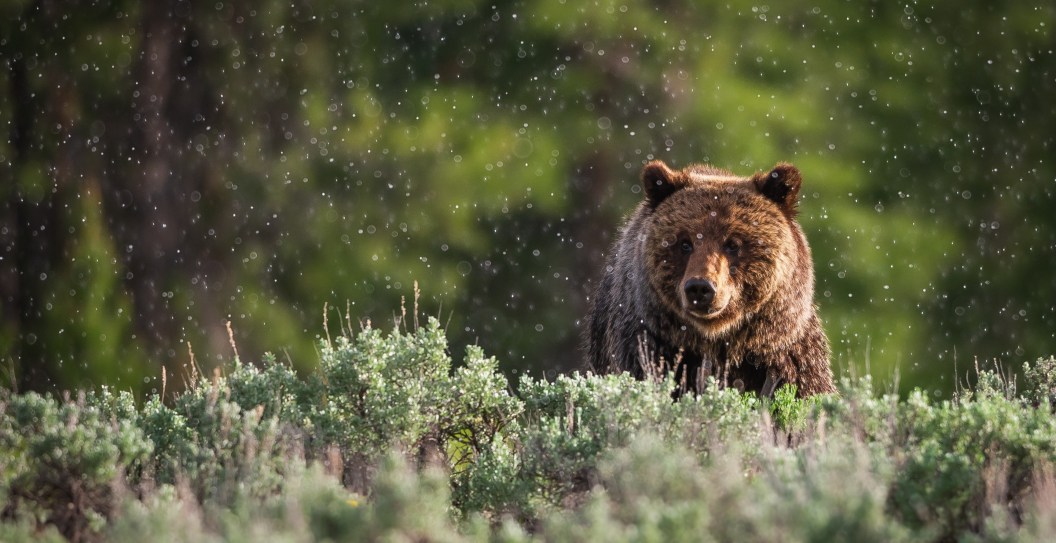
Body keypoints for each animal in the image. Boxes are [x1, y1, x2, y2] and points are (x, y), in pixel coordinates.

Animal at [584, 159, 835, 398]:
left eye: (733, 244)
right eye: (684, 243)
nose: (700, 287)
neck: (718, 341)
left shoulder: (786, 353)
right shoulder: (649, 343)